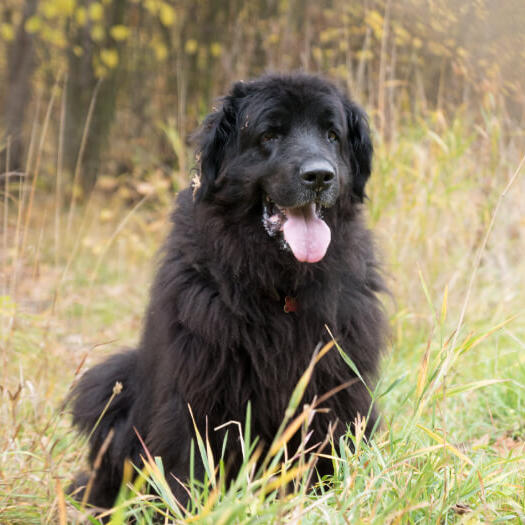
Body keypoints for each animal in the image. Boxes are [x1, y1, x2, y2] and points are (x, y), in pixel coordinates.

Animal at [69, 73, 386, 508]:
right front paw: (193, 509)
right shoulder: (200, 386)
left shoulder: (335, 384)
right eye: (270, 134)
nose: (320, 175)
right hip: (111, 387)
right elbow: (191, 459)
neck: (281, 285)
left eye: (332, 135)